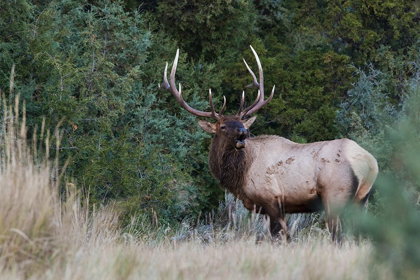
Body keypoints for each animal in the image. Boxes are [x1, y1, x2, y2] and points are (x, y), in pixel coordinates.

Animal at [159, 47, 378, 242]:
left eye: (241, 122)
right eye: (222, 126)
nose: (243, 133)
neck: (241, 174)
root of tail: (369, 162)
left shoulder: (272, 198)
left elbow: (280, 238)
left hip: (335, 196)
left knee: (339, 236)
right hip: (362, 198)